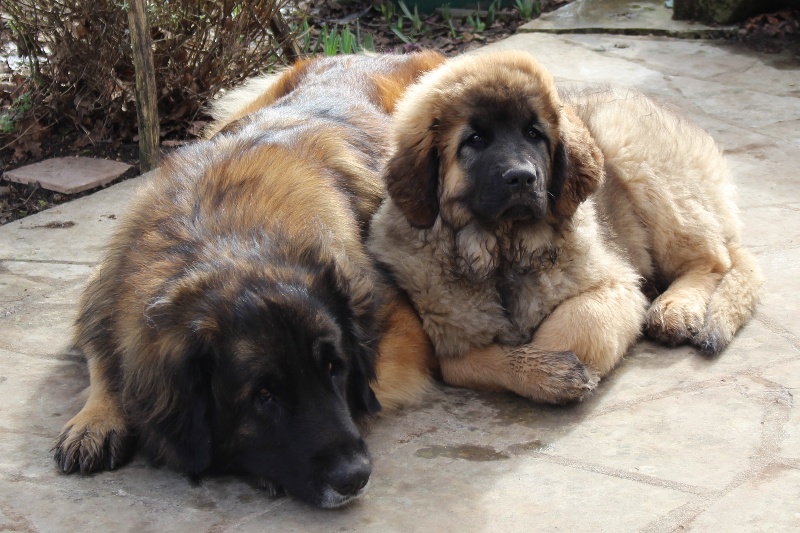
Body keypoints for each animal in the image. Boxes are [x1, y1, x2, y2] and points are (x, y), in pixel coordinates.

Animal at [54, 53, 444, 508]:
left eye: (335, 368)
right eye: (263, 396)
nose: (355, 477)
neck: (224, 234)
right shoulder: (106, 290)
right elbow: (105, 357)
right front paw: (97, 419)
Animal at [368, 51, 764, 404]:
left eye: (534, 134)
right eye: (475, 140)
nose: (523, 178)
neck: (505, 250)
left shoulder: (613, 286)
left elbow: (574, 325)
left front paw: (557, 370)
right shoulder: (448, 337)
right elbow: (462, 363)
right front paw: (545, 373)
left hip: (636, 157)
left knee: (714, 260)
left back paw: (675, 307)